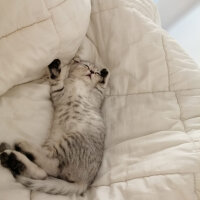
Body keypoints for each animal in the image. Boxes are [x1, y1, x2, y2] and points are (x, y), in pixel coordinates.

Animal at [0, 57, 109, 195]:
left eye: (95, 72)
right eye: (86, 66)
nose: (91, 72)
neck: (80, 83)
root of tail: (86, 182)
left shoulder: (96, 97)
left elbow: (101, 88)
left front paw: (104, 75)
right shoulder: (58, 94)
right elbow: (56, 83)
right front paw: (56, 70)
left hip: (69, 142)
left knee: (49, 167)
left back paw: (17, 152)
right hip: (57, 143)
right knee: (47, 172)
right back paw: (13, 158)